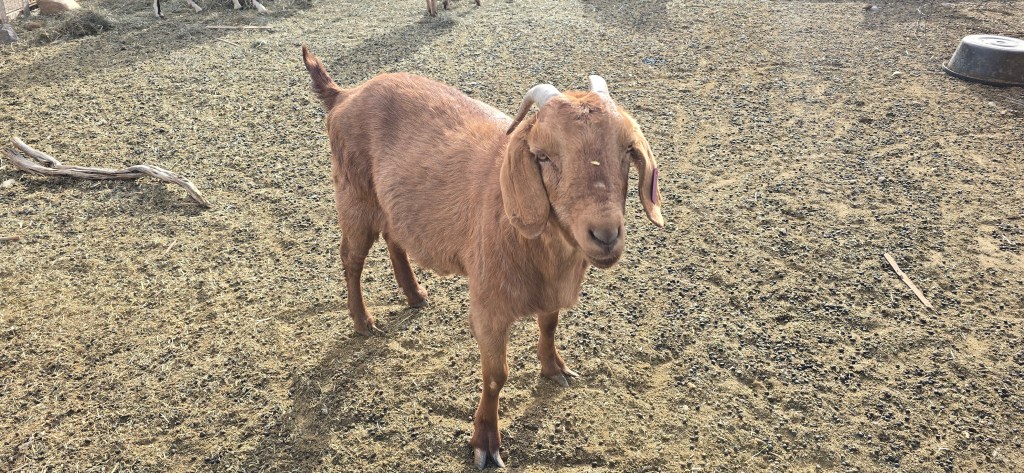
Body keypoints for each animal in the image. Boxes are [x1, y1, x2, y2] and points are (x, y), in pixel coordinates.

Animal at [301, 46, 664, 469]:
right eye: (542, 156)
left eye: (627, 150)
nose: (604, 234)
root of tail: (344, 95)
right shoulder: (488, 305)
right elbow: (496, 376)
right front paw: (486, 442)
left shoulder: (549, 293)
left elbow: (549, 326)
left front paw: (554, 368)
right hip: (354, 195)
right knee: (351, 259)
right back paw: (363, 321)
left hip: (393, 203)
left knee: (395, 237)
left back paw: (414, 294)